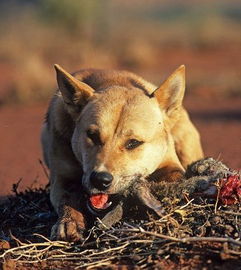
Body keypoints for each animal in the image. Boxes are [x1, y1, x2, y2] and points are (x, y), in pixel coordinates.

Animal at [41, 65, 203, 240]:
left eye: (133, 143)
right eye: (92, 135)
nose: (100, 180)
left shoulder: (170, 164)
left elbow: (177, 177)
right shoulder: (62, 178)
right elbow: (67, 199)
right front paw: (68, 221)